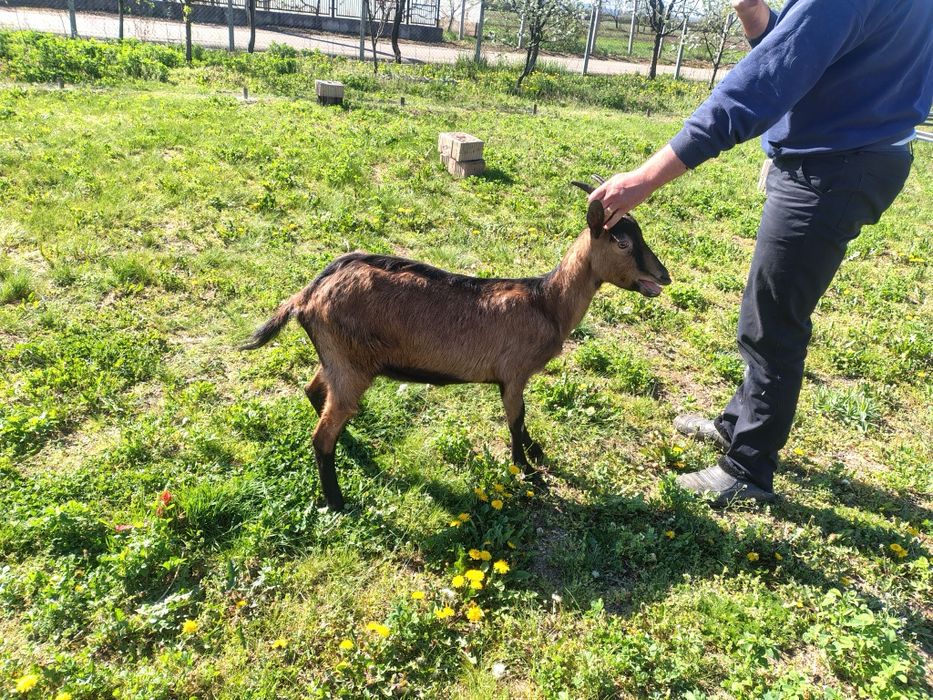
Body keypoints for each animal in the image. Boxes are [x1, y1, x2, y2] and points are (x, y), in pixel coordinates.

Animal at [240, 179, 671, 511]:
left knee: (314, 390)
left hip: (338, 359)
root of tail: (306, 295)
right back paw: (337, 501)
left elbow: (522, 420)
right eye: (621, 242)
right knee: (321, 435)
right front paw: (529, 471)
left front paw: (536, 452)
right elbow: (516, 420)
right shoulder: (513, 374)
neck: (546, 302)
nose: (663, 276)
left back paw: (351, 443)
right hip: (350, 365)